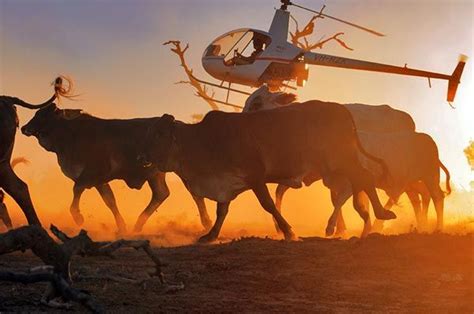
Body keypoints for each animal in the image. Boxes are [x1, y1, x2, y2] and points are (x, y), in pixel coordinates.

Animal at [22, 103, 211, 233]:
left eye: (43, 114)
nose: (24, 127)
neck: (72, 134)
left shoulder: (93, 173)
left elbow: (77, 190)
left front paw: (78, 217)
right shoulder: (99, 180)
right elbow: (110, 201)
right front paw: (122, 227)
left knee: (193, 194)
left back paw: (206, 223)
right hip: (156, 175)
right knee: (163, 194)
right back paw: (138, 225)